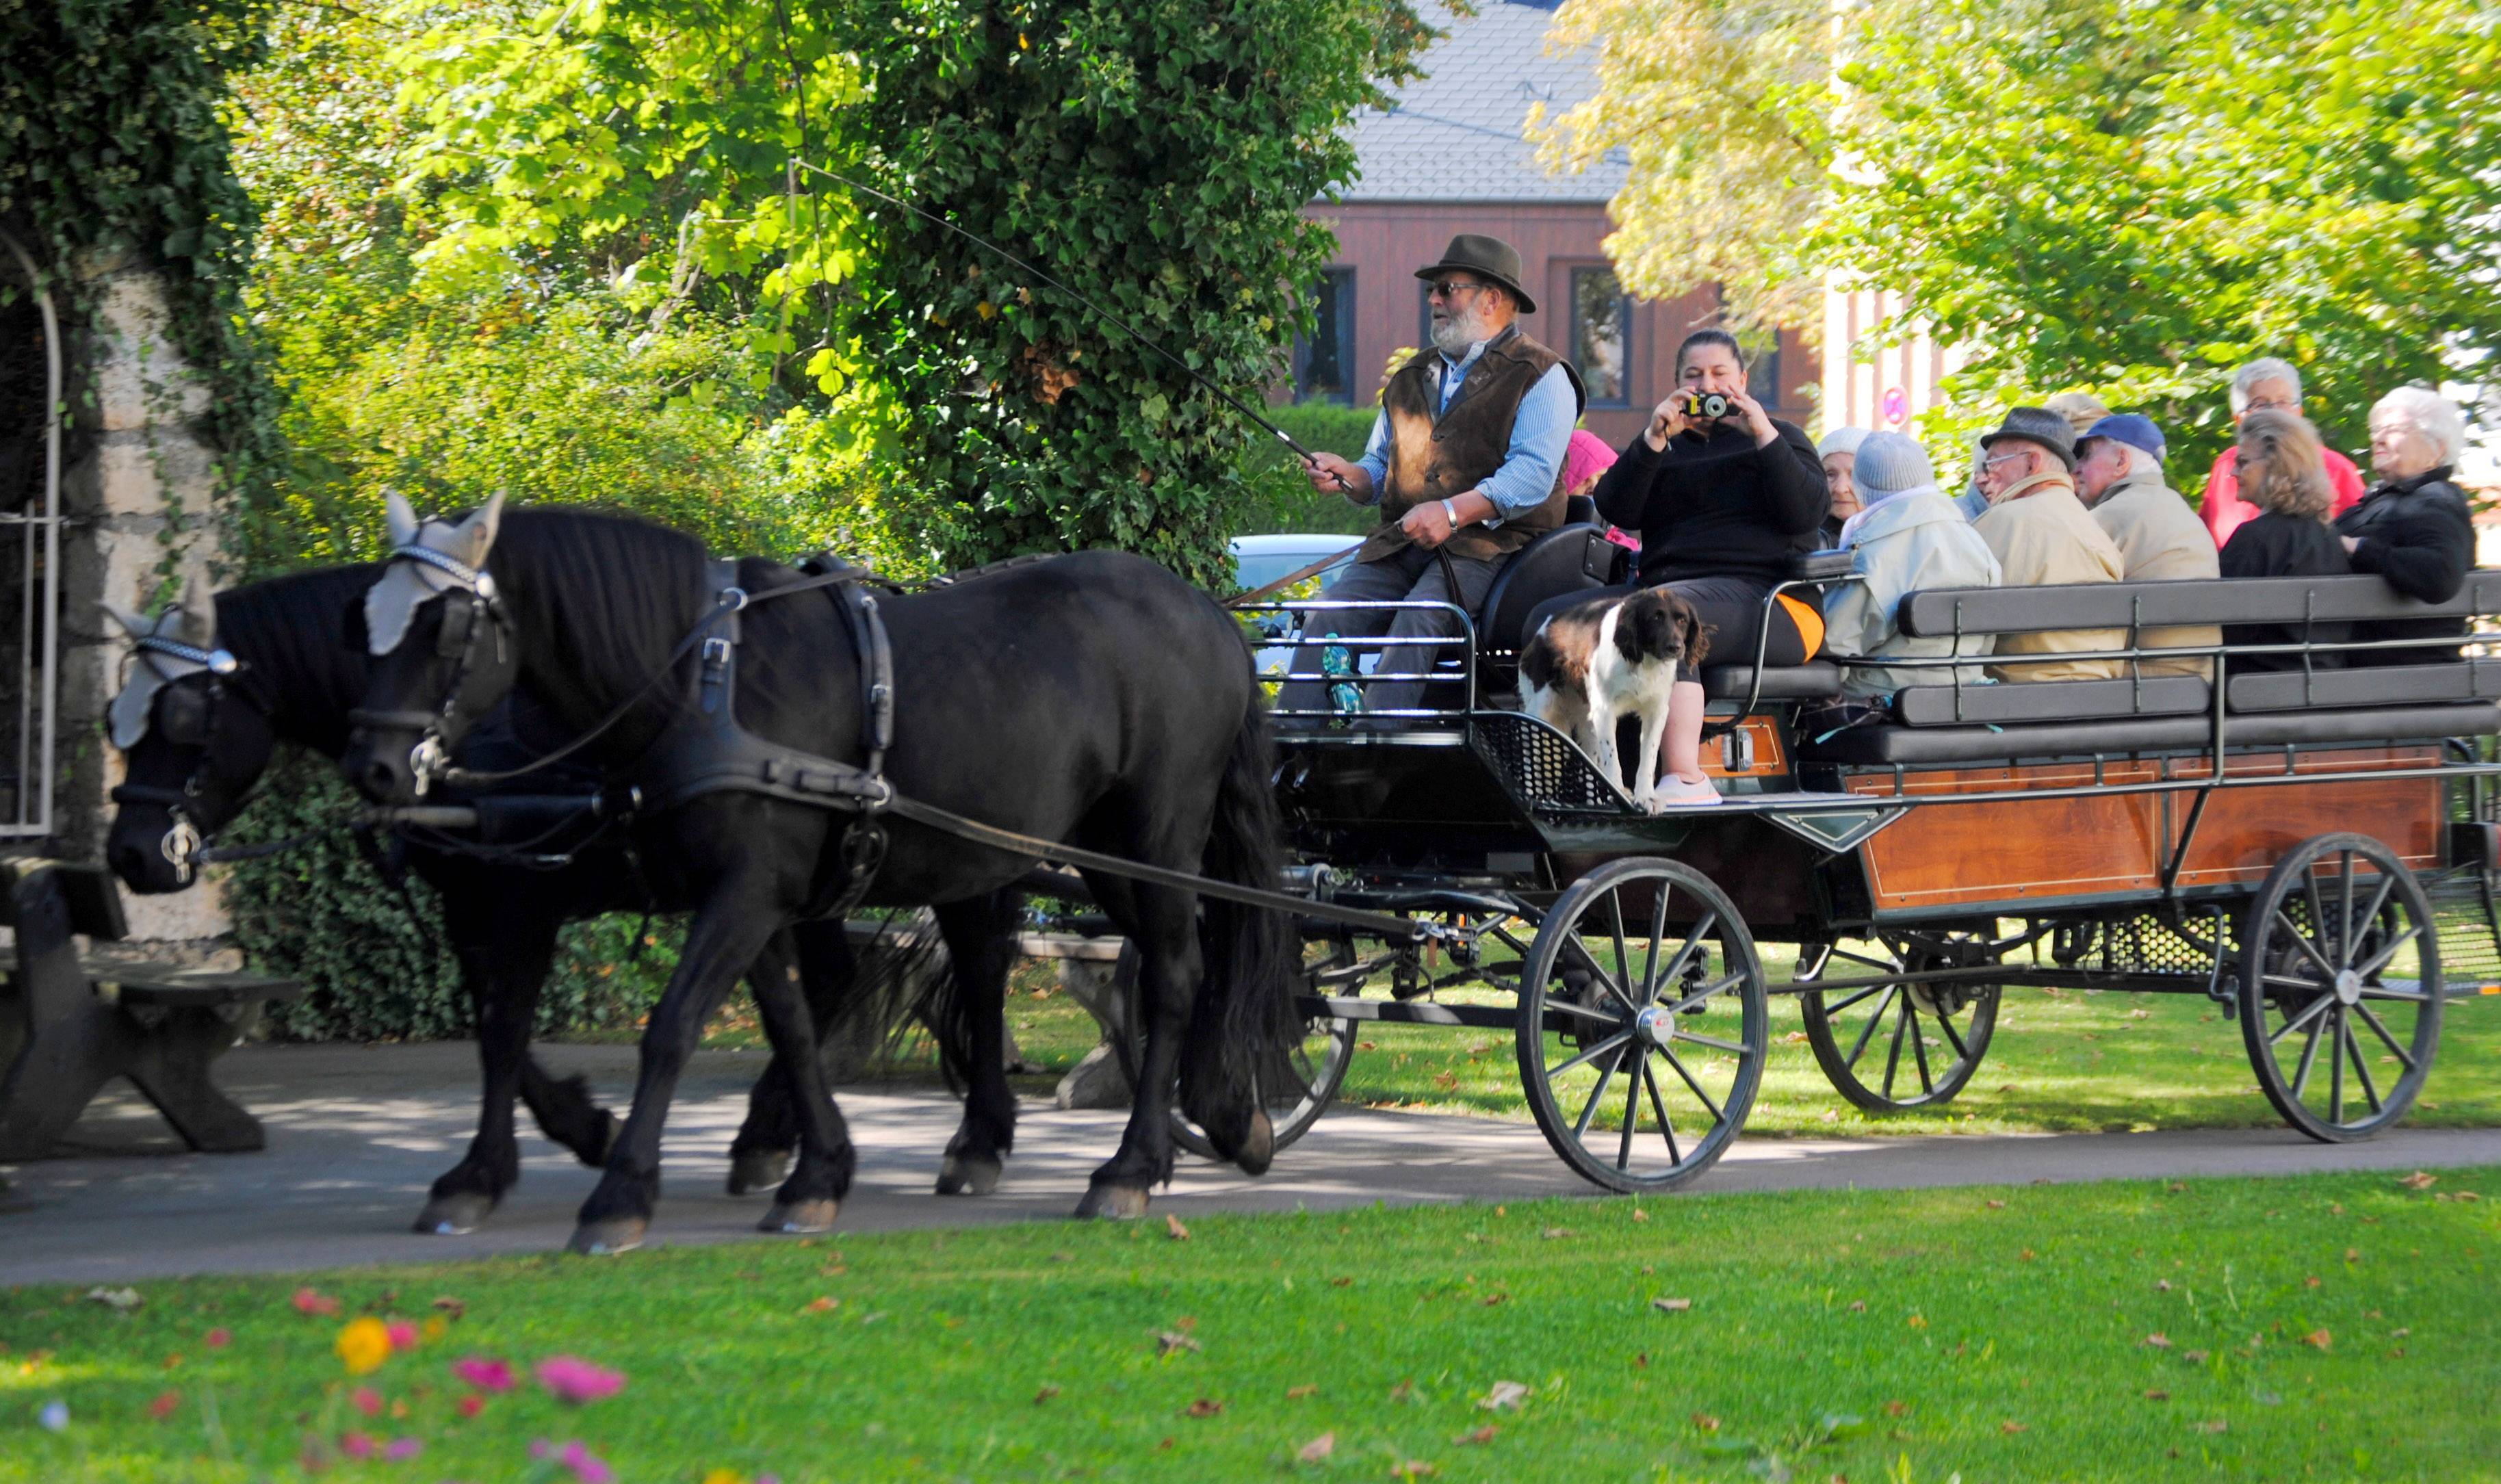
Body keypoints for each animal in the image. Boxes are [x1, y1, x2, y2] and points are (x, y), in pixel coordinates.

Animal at [105, 560, 910, 1231]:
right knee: (824, 983)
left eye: (183, 717)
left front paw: (540, 1152)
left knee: (823, 983)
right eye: (119, 713)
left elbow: (504, 1030)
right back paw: (774, 1139)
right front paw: (575, 1130)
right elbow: (497, 1029)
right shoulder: (471, 906)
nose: (130, 853)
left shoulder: (523, 899)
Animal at [342, 503, 1300, 1246]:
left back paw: (1129, 1166)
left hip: (1152, 842)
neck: (701, 681)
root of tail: (1210, 614)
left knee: (1173, 974)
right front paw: (812, 1171)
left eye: (445, 627)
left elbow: (664, 1027)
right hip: (1060, 855)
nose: (383, 767)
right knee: (1066, 966)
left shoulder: (693, 895)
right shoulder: (742, 895)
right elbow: (786, 1022)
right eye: (365, 622)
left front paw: (616, 1189)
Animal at [1510, 585, 1711, 805]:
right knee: (1531, 761)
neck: (1642, 660)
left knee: (1588, 768)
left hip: (1587, 724)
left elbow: (1648, 758)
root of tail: (1541, 632)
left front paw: (1646, 797)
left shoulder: (1656, 711)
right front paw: (1619, 791)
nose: (1675, 647)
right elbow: (1612, 758)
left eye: (1682, 620)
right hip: (1541, 713)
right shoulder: (1605, 712)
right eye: (1655, 618)